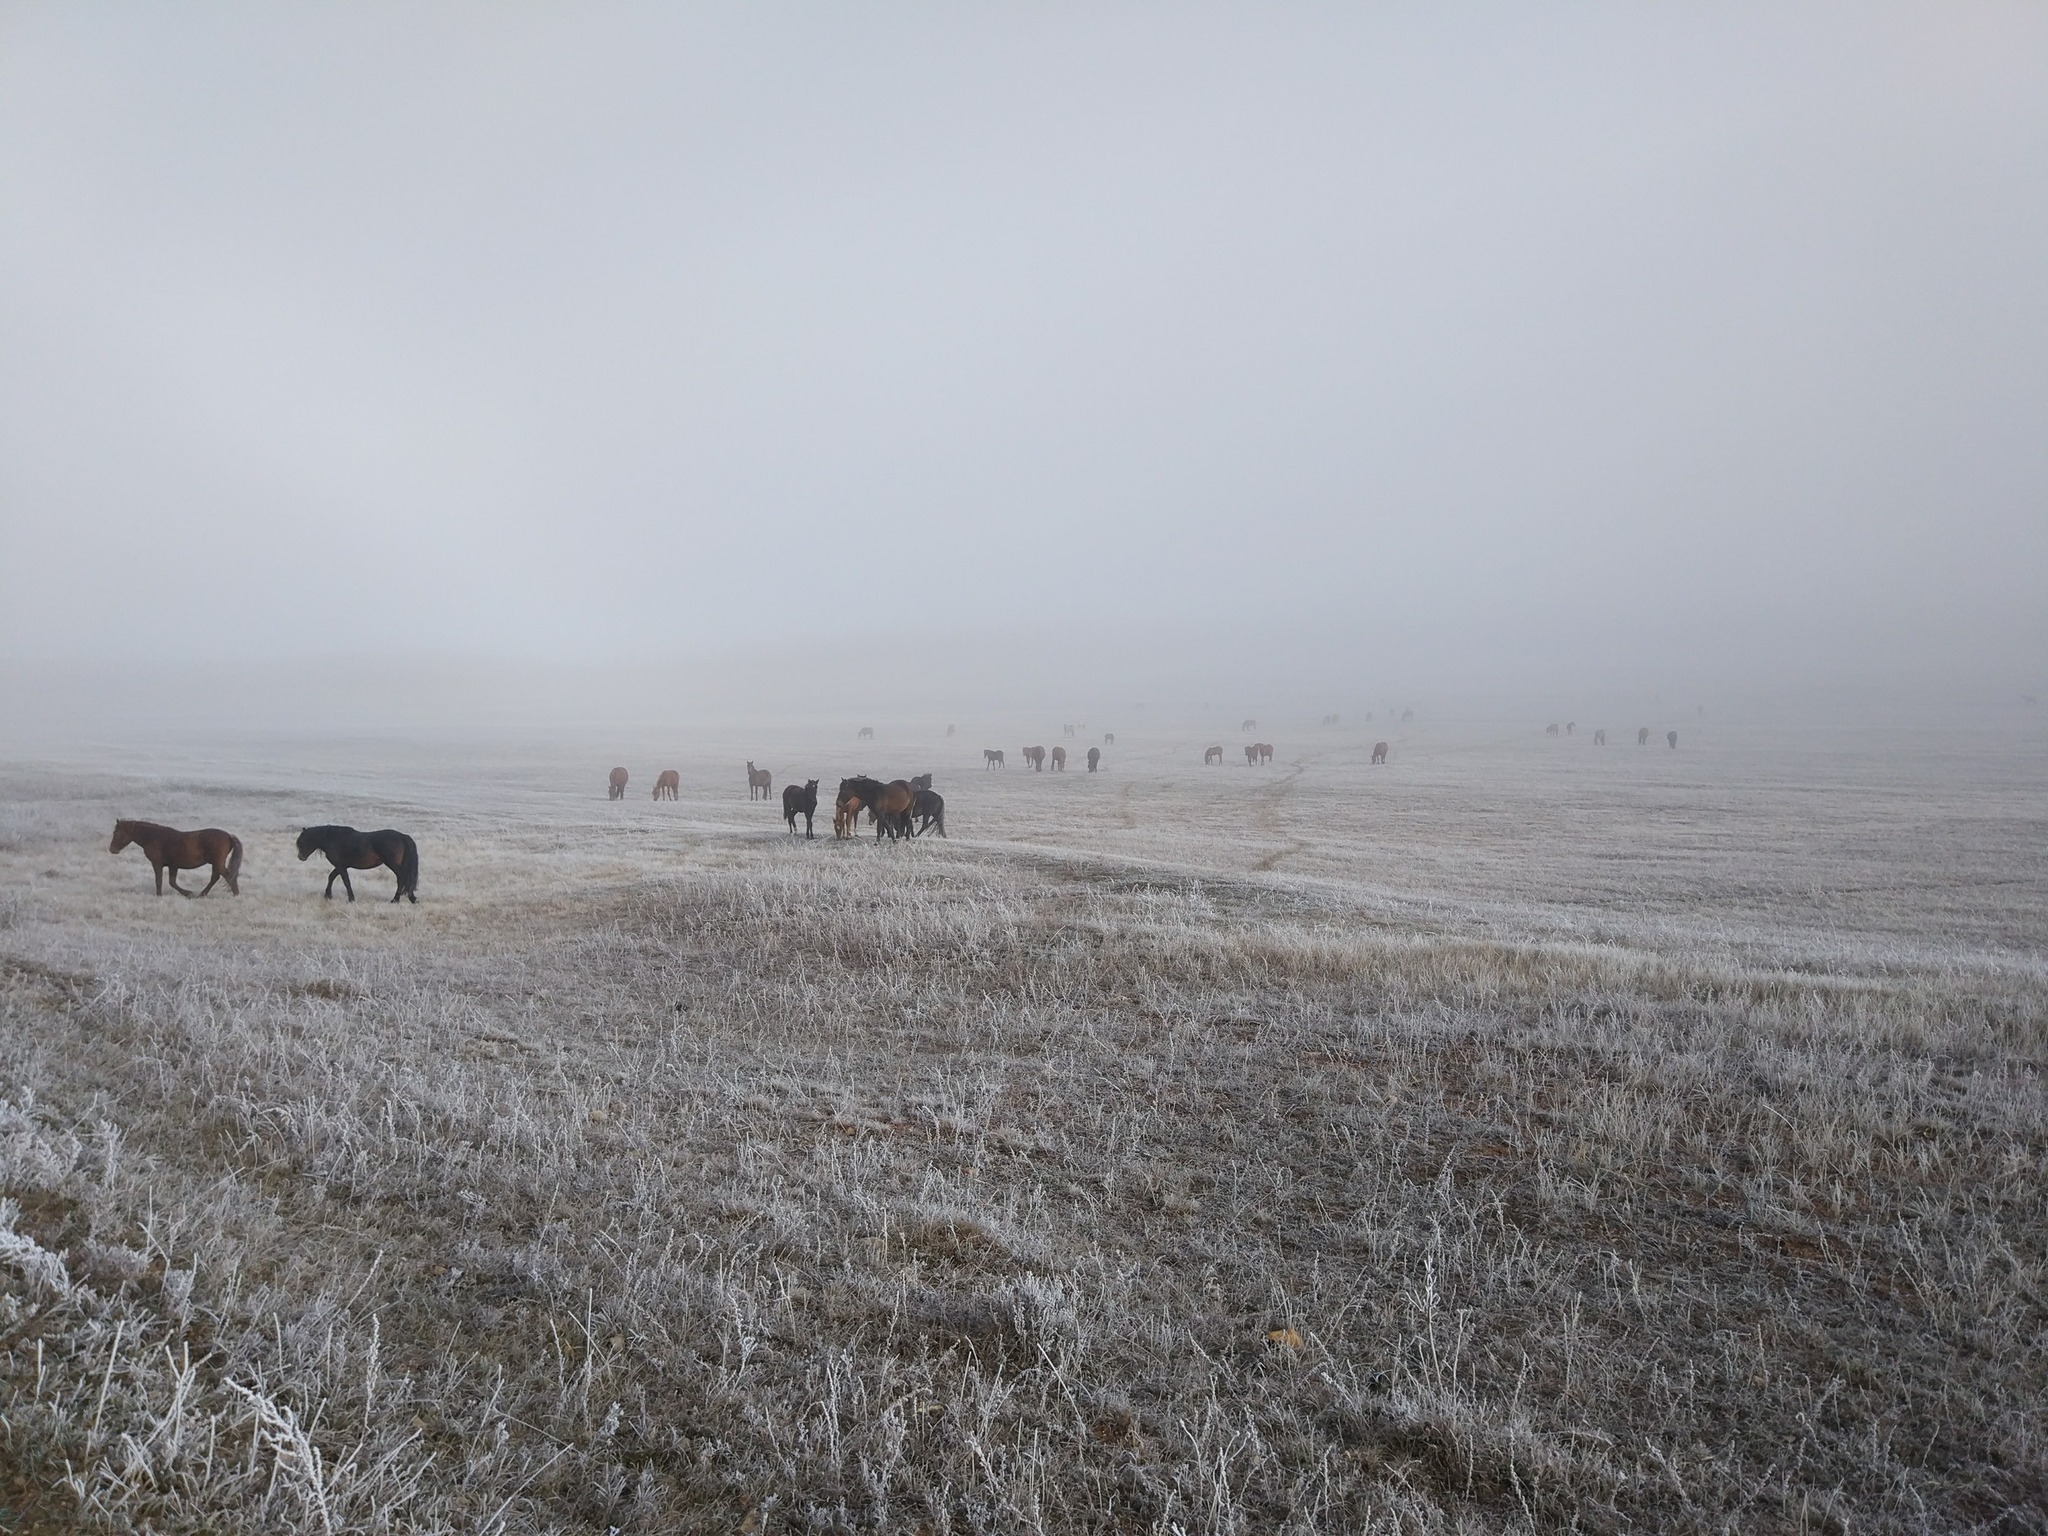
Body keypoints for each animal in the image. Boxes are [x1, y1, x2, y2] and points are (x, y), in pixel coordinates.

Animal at [111, 823, 242, 897]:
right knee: (217, 877)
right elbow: (172, 882)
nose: (112, 849)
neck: (154, 836)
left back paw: (235, 894)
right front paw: (188, 893)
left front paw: (159, 895)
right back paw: (202, 894)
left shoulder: (157, 864)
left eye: (116, 832)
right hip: (216, 863)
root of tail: (229, 836)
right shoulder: (173, 865)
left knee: (226, 876)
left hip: (217, 862)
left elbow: (159, 880)